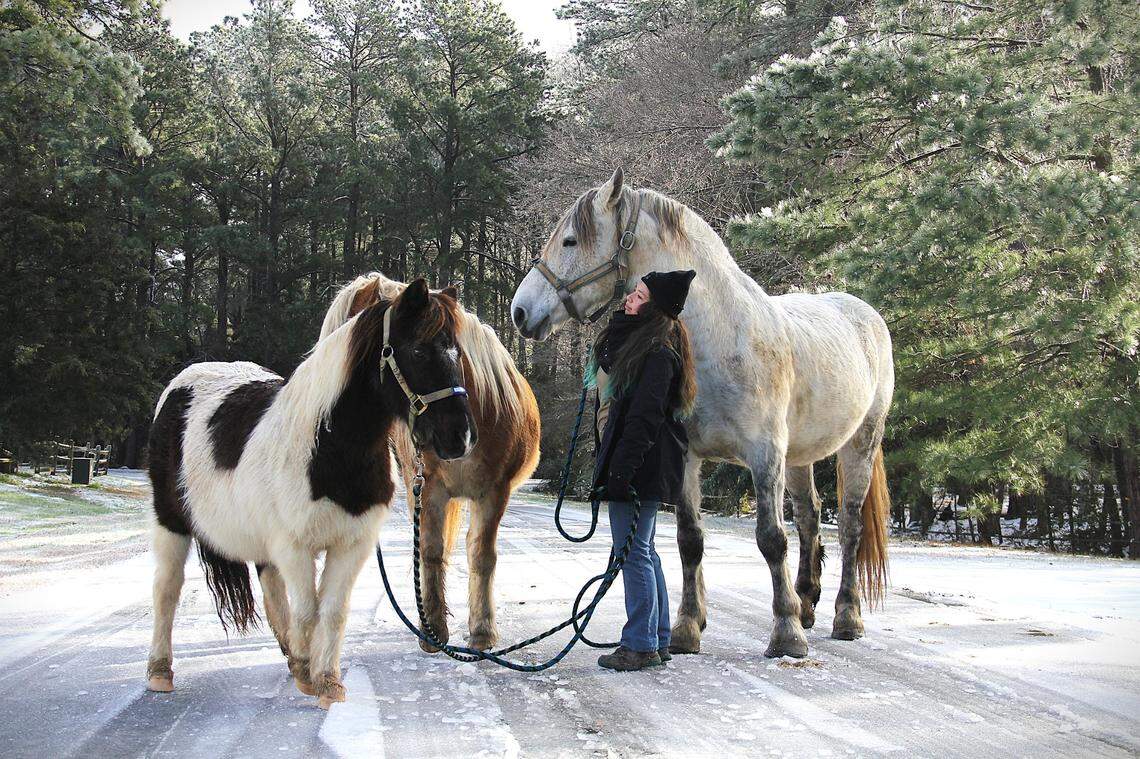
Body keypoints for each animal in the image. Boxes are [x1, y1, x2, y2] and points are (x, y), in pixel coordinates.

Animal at [145, 279, 475, 708]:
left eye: (456, 352)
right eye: (419, 350)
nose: (460, 437)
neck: (328, 448)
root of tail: (182, 383)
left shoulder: (351, 545)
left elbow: (332, 611)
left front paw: (327, 682)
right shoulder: (295, 546)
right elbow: (308, 610)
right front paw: (309, 675)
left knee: (271, 591)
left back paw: (292, 657)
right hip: (170, 522)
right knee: (167, 590)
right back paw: (160, 671)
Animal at [320, 272, 541, 652]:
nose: (459, 436)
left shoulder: (494, 493)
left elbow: (482, 556)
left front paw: (482, 631)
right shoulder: (430, 489)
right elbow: (431, 551)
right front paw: (434, 629)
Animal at [510, 168, 894, 659]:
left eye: (571, 240)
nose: (521, 312)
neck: (721, 339)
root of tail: (865, 314)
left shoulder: (765, 456)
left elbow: (771, 539)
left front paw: (786, 633)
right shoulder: (688, 457)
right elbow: (689, 540)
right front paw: (686, 629)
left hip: (859, 445)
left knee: (848, 526)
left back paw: (846, 617)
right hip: (801, 458)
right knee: (811, 519)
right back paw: (807, 604)